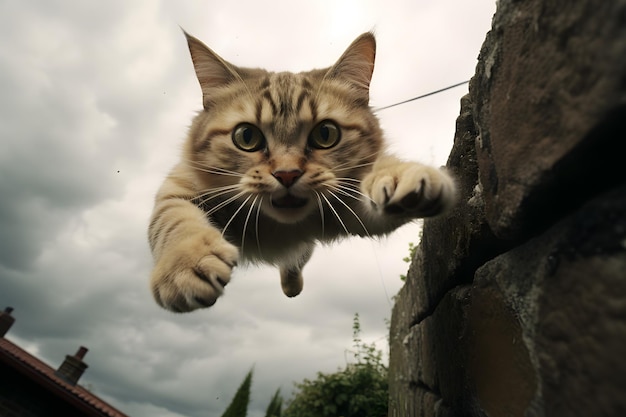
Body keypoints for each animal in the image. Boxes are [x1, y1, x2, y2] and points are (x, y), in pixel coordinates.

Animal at [149, 31, 456, 312]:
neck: (283, 228)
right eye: (246, 136)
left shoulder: (351, 213)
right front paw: (185, 266)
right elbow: (174, 220)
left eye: (326, 133)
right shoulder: (179, 187)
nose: (287, 174)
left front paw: (402, 177)